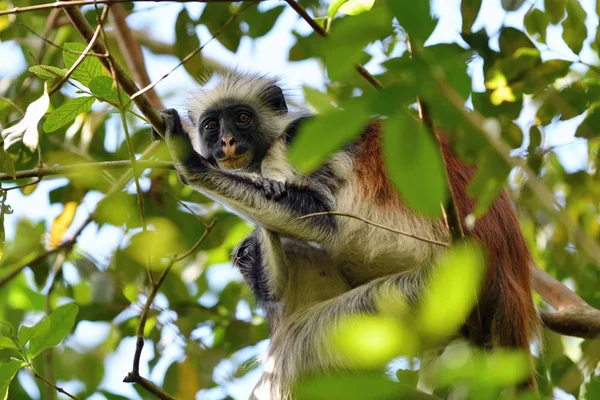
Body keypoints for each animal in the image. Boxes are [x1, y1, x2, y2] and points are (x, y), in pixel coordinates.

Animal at [152, 72, 536, 400]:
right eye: (212, 126)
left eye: (242, 118)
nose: (227, 141)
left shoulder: (295, 141)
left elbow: (321, 216)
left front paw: (190, 163)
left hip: (429, 292)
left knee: (295, 349)